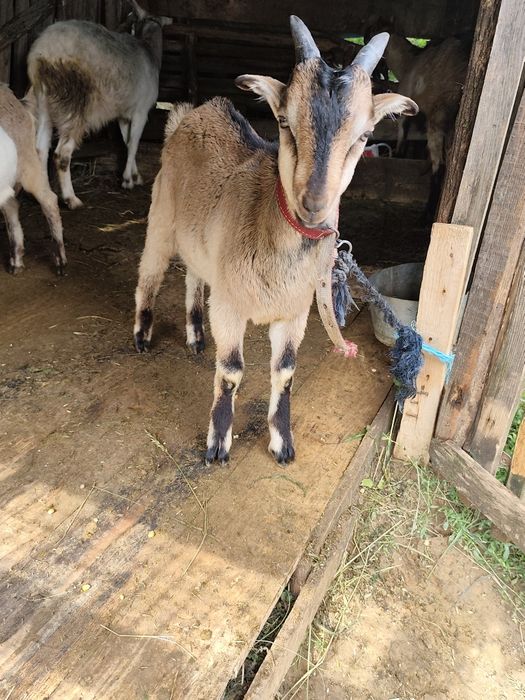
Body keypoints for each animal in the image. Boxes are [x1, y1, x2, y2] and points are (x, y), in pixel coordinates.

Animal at [27, 0, 171, 209]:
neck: (149, 49)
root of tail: (43, 52)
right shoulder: (141, 112)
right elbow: (134, 143)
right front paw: (127, 180)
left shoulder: (123, 115)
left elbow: (128, 142)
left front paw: (135, 175)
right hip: (74, 104)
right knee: (62, 154)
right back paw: (71, 199)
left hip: (44, 103)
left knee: (40, 150)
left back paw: (44, 193)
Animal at [133, 17, 418, 465]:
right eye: (284, 122)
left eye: (364, 135)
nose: (314, 204)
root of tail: (187, 117)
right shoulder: (231, 305)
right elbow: (231, 370)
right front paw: (217, 444)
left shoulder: (294, 312)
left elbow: (284, 371)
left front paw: (283, 443)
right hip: (161, 216)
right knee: (150, 271)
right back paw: (142, 336)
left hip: (202, 245)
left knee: (194, 276)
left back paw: (196, 336)